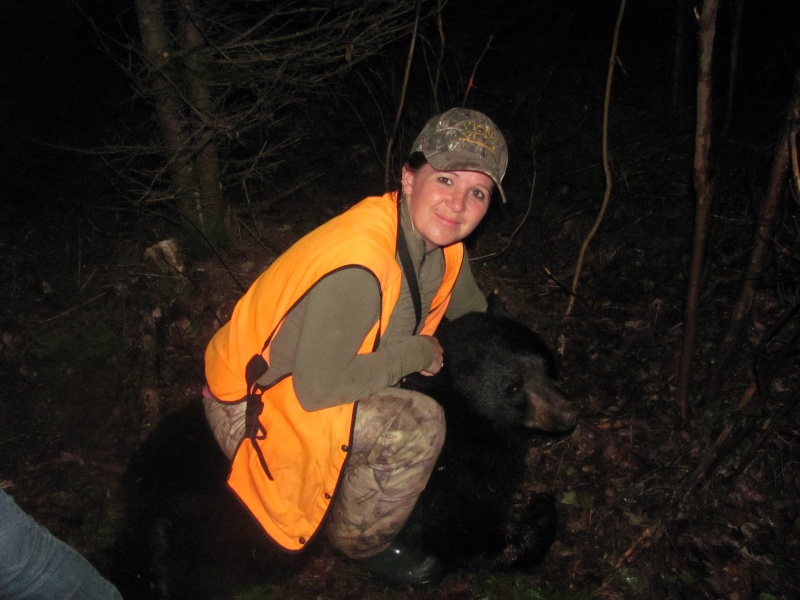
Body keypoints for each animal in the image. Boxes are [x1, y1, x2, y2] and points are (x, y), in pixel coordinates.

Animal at [404, 308, 580, 568]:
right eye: (512, 386)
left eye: (546, 365)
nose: (568, 412)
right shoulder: (443, 483)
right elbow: (462, 534)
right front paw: (541, 511)